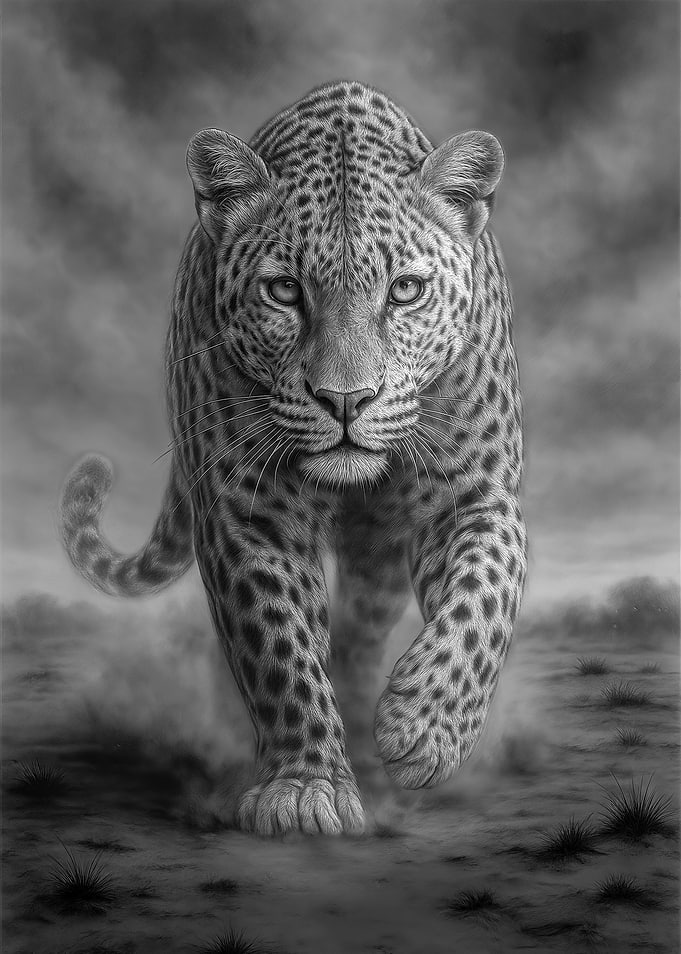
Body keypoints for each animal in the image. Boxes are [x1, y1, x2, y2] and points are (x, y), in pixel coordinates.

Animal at [60, 81, 527, 836]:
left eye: (405, 290)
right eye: (283, 291)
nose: (346, 400)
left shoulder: (474, 494)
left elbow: (484, 597)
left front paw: (424, 726)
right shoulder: (251, 515)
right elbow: (279, 646)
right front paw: (304, 786)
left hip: (378, 552)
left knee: (366, 624)